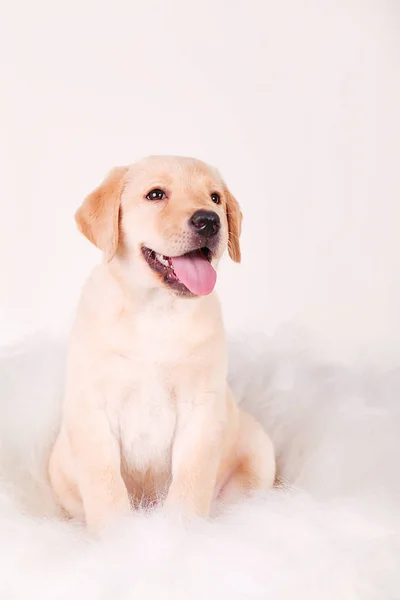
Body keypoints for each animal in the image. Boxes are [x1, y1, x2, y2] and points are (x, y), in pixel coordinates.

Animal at [47, 156, 276, 536]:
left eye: (215, 198)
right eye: (156, 195)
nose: (209, 220)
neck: (157, 312)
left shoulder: (201, 409)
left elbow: (191, 478)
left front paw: (179, 531)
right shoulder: (93, 409)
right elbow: (104, 482)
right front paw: (116, 536)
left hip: (259, 450)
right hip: (59, 468)